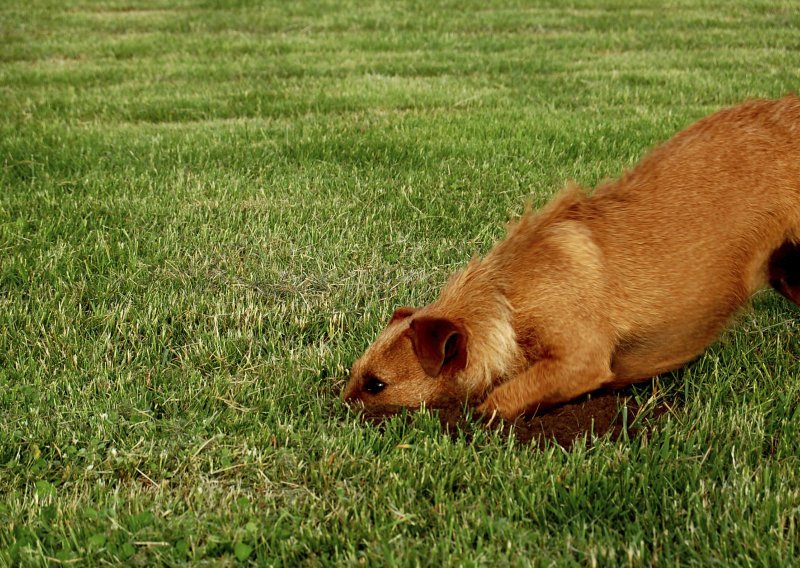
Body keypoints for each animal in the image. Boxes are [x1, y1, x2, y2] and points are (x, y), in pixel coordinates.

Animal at [342, 95, 800, 420]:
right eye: (355, 372)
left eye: (376, 385)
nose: (338, 404)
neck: (507, 297)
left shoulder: (581, 361)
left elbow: (500, 398)